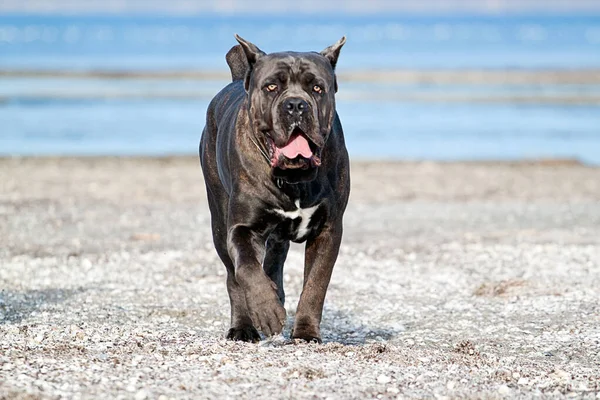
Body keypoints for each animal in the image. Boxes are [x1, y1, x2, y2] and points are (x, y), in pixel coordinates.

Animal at [200, 34, 350, 342]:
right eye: (271, 87)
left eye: (317, 88)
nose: (295, 105)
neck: (293, 178)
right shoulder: (240, 228)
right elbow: (247, 268)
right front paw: (266, 310)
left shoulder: (329, 229)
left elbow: (316, 283)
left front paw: (305, 331)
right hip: (218, 221)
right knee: (233, 276)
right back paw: (243, 326)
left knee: (274, 259)